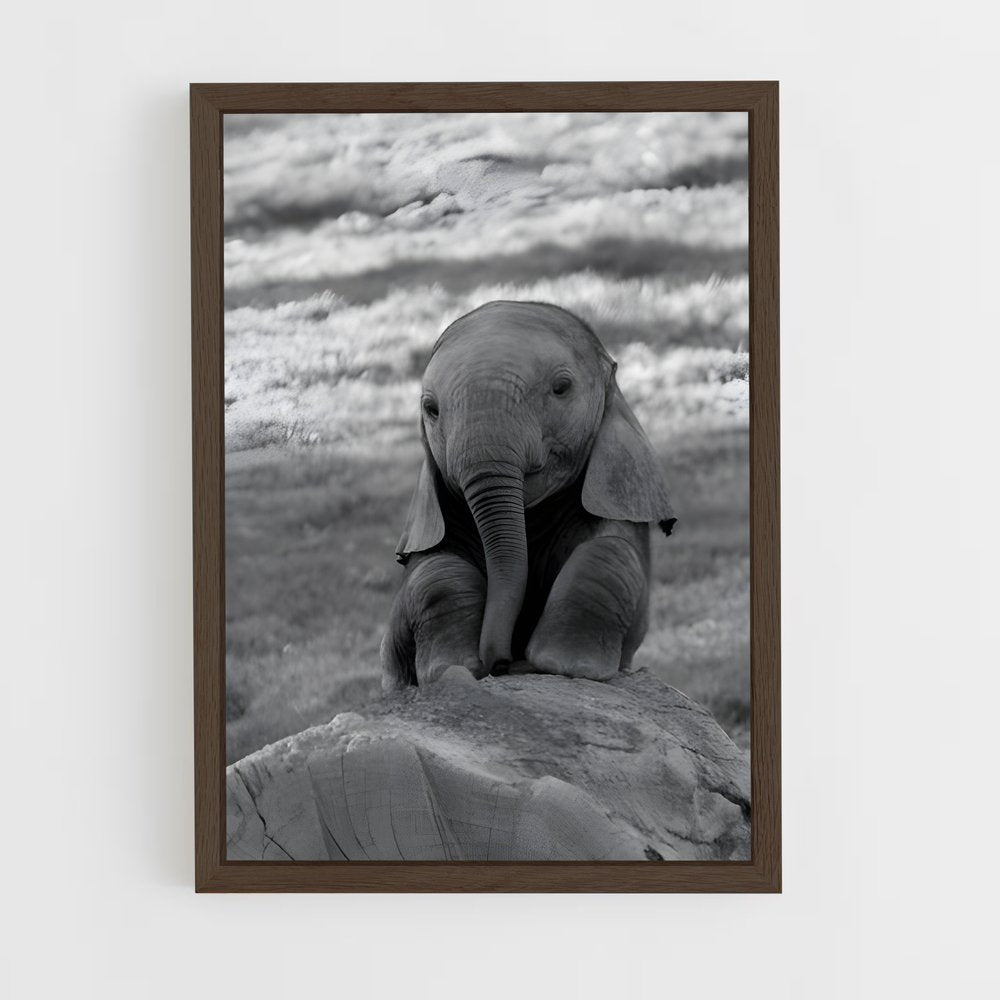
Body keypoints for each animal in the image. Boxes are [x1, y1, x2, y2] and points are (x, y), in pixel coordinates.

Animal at [380, 300, 676, 691]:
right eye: (431, 409)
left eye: (561, 388)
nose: (503, 662)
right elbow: (434, 573)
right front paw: (451, 671)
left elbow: (609, 553)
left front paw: (561, 665)